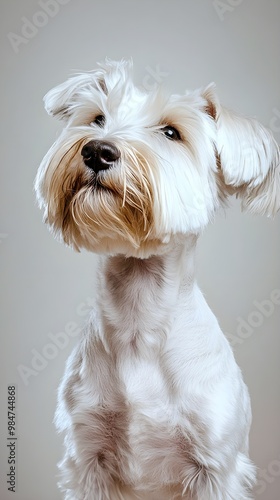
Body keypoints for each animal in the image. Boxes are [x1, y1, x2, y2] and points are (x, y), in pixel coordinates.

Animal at [35, 59, 280, 500]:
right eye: (98, 118)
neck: (140, 317)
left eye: (171, 133)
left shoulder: (215, 467)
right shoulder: (89, 458)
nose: (97, 149)